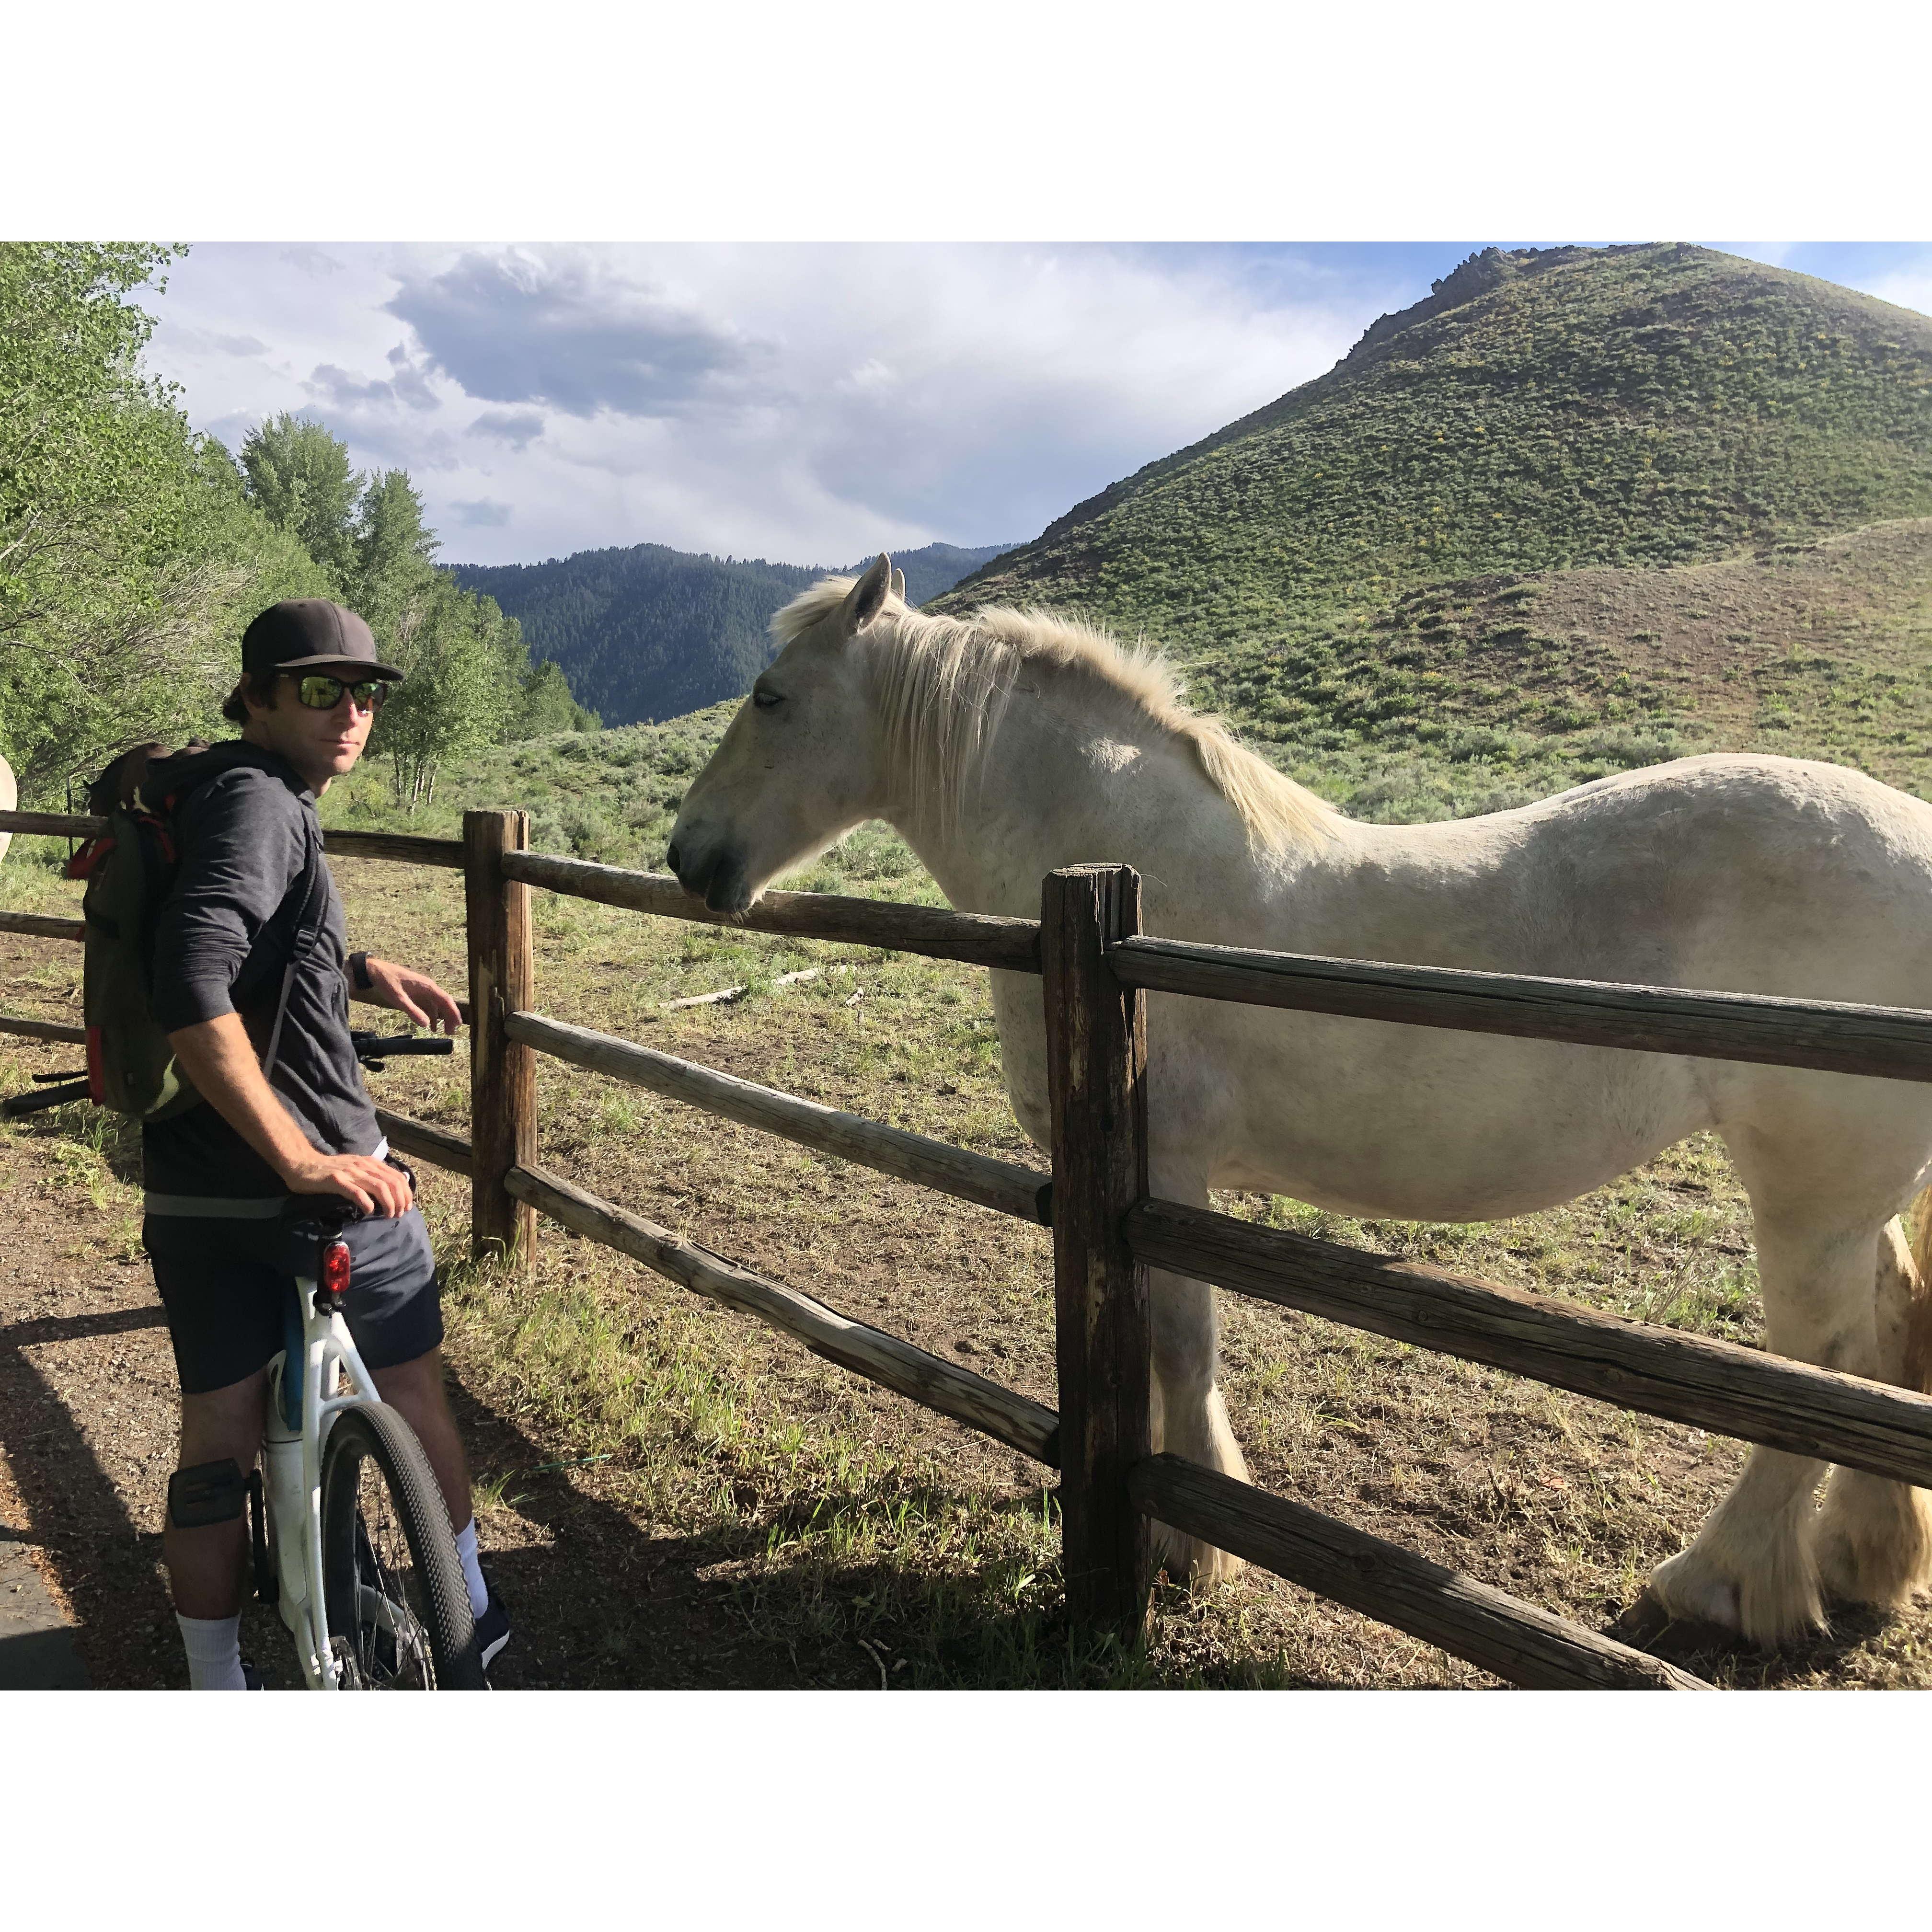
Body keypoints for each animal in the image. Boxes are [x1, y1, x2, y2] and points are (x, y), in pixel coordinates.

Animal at [668, 556, 1932, 1646]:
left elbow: (1182, 1345)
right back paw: (1861, 1561)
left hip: (1809, 1198)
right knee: (1883, 1340)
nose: (689, 857)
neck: (1128, 879)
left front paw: (1187, 1541)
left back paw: (1716, 1580)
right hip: (1847, 1202)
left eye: (773, 697)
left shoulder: (1163, 1171)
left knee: (1817, 1368)